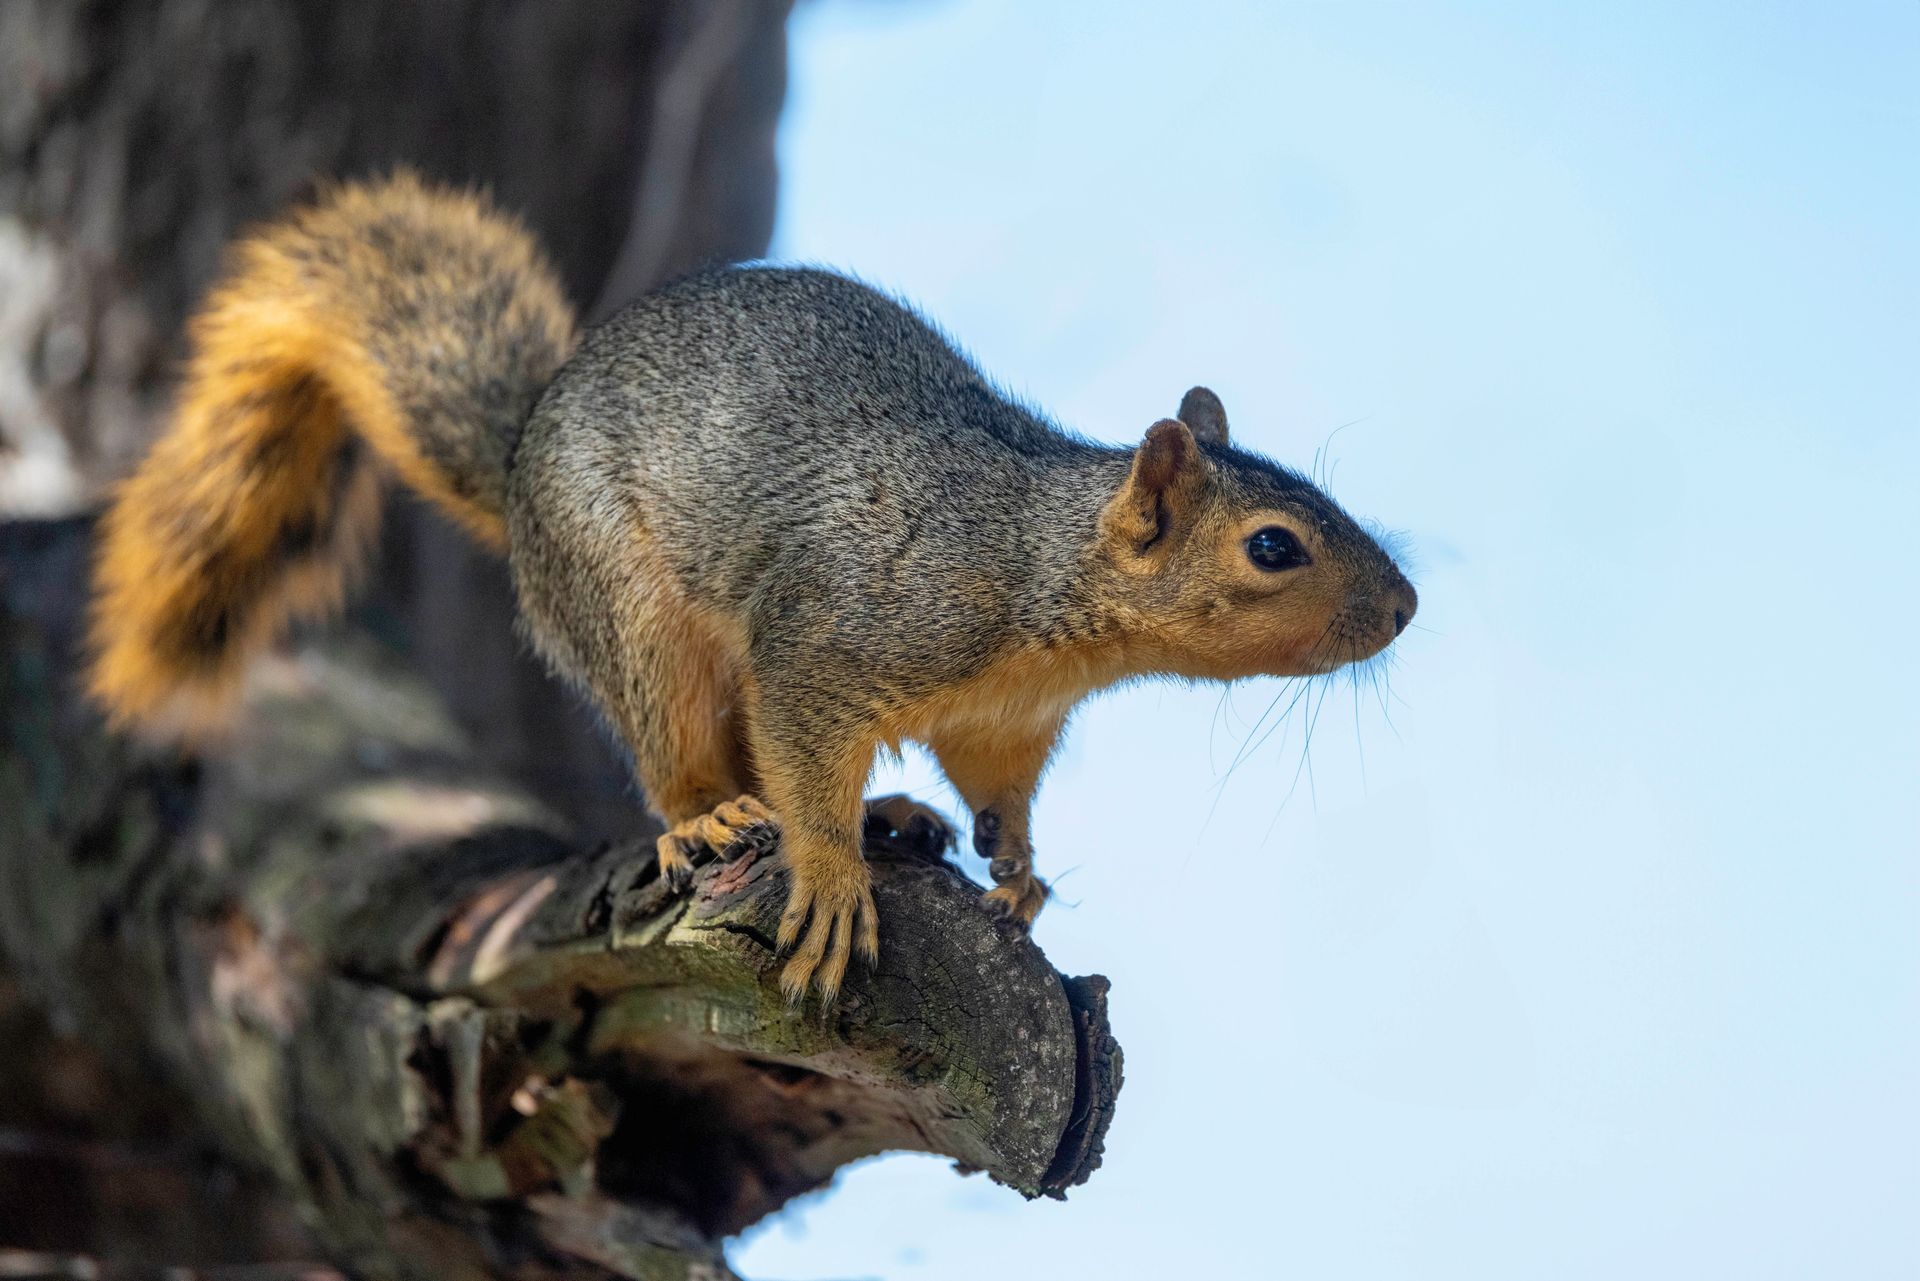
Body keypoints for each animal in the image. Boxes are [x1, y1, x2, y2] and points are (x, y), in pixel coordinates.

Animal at [86, 175, 1413, 1006]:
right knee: (689, 748)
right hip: (630, 610)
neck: (1039, 575)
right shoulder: (840, 630)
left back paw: (894, 816)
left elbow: (997, 788)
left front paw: (1021, 866)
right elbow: (801, 736)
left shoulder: (1003, 721)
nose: (1405, 609)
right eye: (1275, 548)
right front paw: (828, 878)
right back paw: (717, 819)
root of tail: (519, 460)